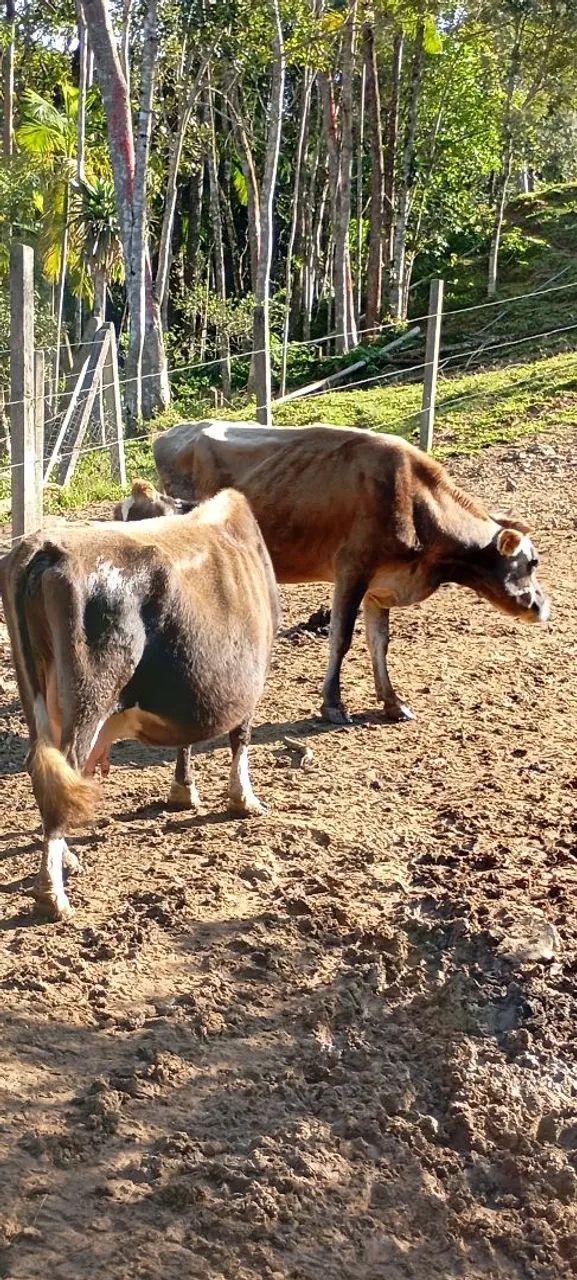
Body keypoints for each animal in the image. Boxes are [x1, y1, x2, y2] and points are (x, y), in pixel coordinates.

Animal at [0, 489, 280, 921]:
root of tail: (44, 546)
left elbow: (186, 739)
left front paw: (183, 791)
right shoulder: (251, 680)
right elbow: (241, 738)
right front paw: (243, 800)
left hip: (36, 696)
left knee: (47, 771)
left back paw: (66, 862)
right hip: (89, 697)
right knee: (64, 773)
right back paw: (53, 894)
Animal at [147, 421, 550, 725]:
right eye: (532, 562)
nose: (542, 607)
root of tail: (171, 432)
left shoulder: (381, 584)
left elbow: (379, 642)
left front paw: (393, 703)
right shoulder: (352, 568)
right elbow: (340, 638)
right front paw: (333, 705)